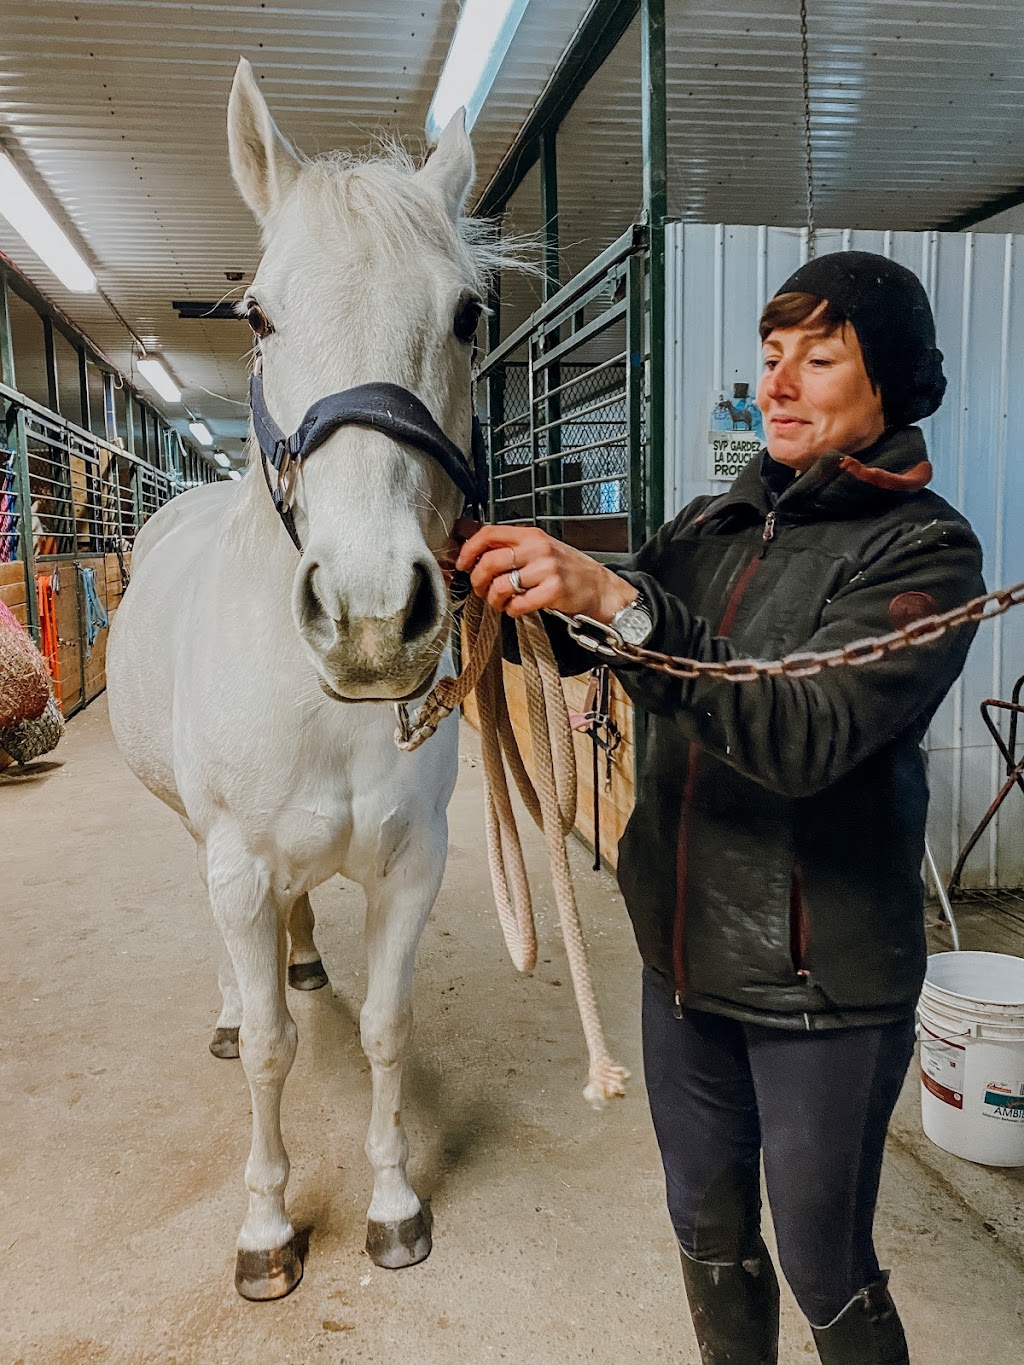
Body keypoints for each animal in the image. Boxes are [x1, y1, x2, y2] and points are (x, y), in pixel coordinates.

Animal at [106, 58, 507, 1299]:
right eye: (260, 316)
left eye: (468, 314)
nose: (373, 621)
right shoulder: (233, 862)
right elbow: (276, 1055)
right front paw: (268, 1228)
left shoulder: (412, 865)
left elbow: (385, 1028)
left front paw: (392, 1207)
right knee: (247, 983)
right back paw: (239, 1004)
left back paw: (303, 962)